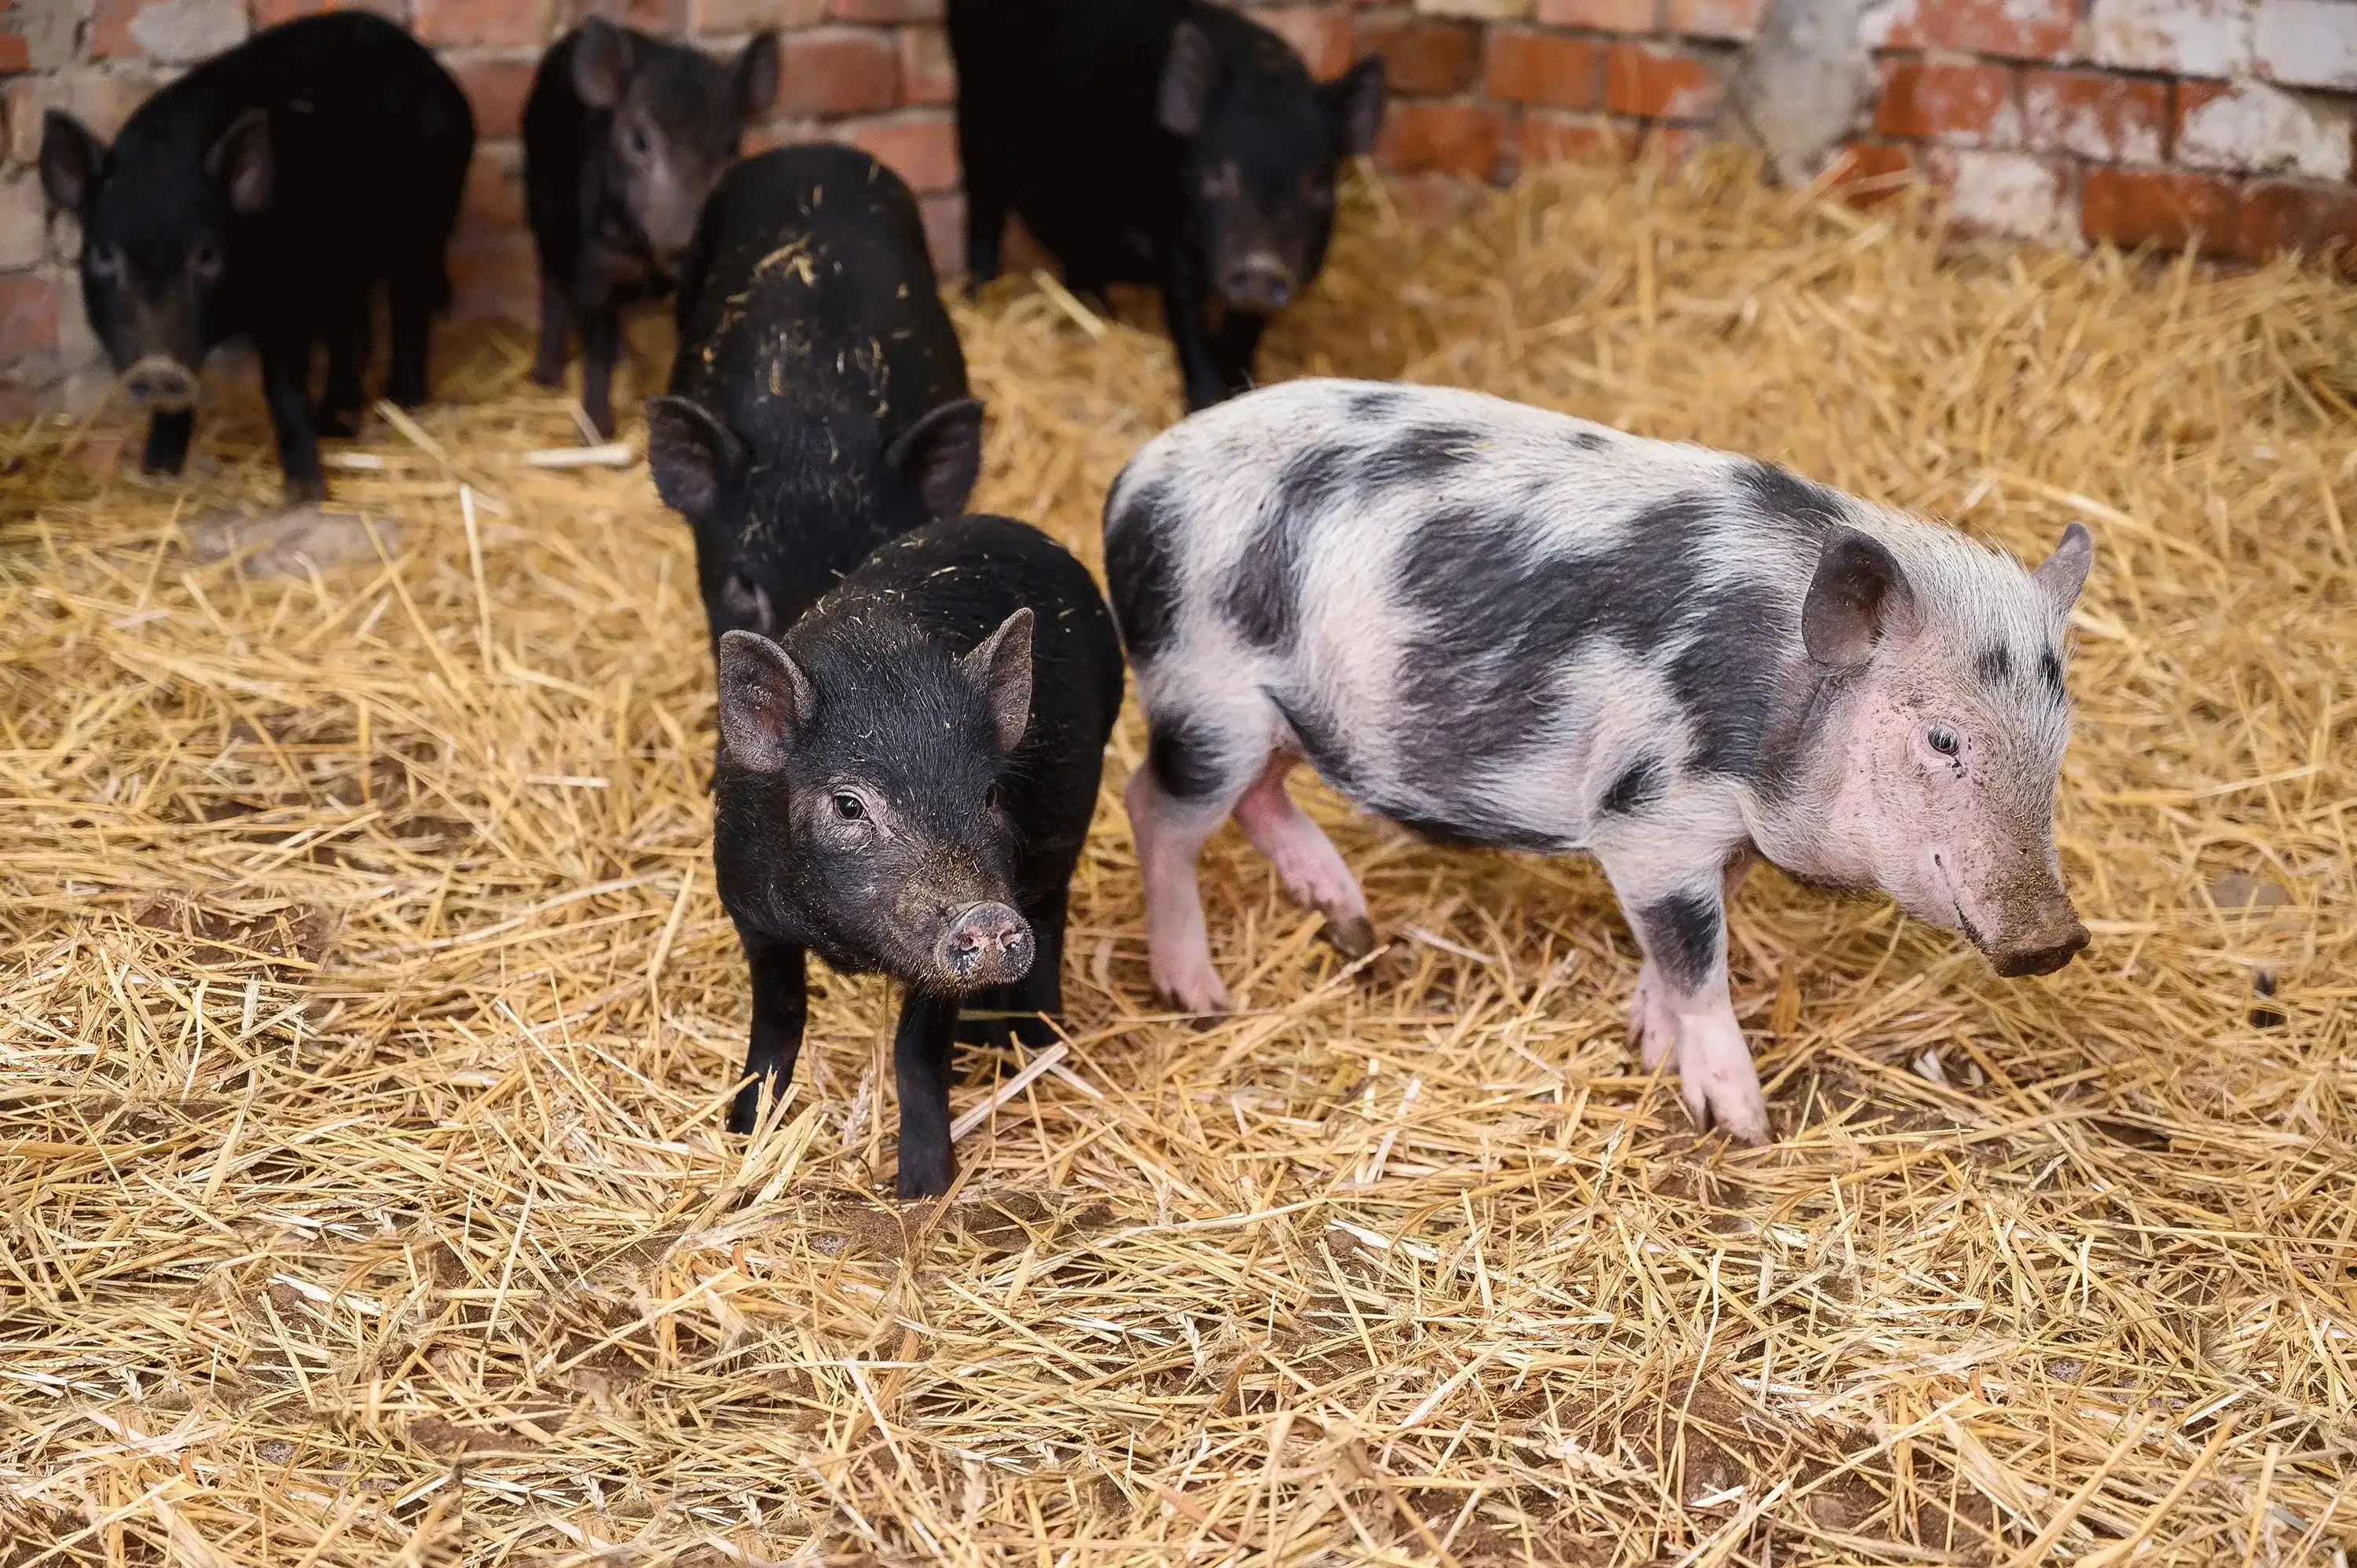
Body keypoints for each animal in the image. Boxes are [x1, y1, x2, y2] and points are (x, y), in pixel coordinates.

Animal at [38, 12, 472, 503]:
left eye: (207, 254)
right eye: (103, 253)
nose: (158, 366)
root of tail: (431, 65)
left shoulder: (285, 300)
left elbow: (282, 387)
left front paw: (306, 492)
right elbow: (178, 405)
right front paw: (156, 475)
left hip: (427, 226)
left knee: (410, 312)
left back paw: (402, 406)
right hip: (343, 269)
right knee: (355, 334)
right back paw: (335, 426)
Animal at [523, 18, 780, 438]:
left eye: (730, 149)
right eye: (639, 141)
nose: (685, 243)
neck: (648, 260)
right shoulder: (594, 269)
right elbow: (595, 351)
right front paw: (597, 432)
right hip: (541, 210)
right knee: (552, 287)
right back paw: (546, 380)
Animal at [713, 515, 1125, 1197]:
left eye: (989, 794)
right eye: (849, 805)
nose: (984, 914)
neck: (846, 943)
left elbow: (916, 1054)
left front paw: (924, 1189)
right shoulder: (750, 913)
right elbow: (778, 1019)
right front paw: (744, 1131)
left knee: (1050, 917)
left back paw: (1033, 1041)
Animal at [948, 0, 1385, 412]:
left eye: (1318, 185)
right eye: (1216, 173)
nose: (1261, 267)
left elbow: (1242, 336)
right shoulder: (1171, 242)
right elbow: (1188, 326)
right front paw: (1203, 403)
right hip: (975, 127)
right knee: (983, 217)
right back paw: (978, 301)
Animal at [1103, 378, 2095, 1144]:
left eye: (2061, 735)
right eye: (1943, 740)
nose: (2055, 937)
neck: (1777, 699)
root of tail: (1130, 483)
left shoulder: (1715, 835)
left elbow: (1679, 946)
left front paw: (1647, 1042)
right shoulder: (1648, 814)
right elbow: (1697, 959)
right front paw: (1741, 1123)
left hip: (1277, 716)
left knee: (1257, 798)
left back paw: (1349, 923)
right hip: (1206, 695)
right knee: (1155, 805)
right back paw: (1203, 997)